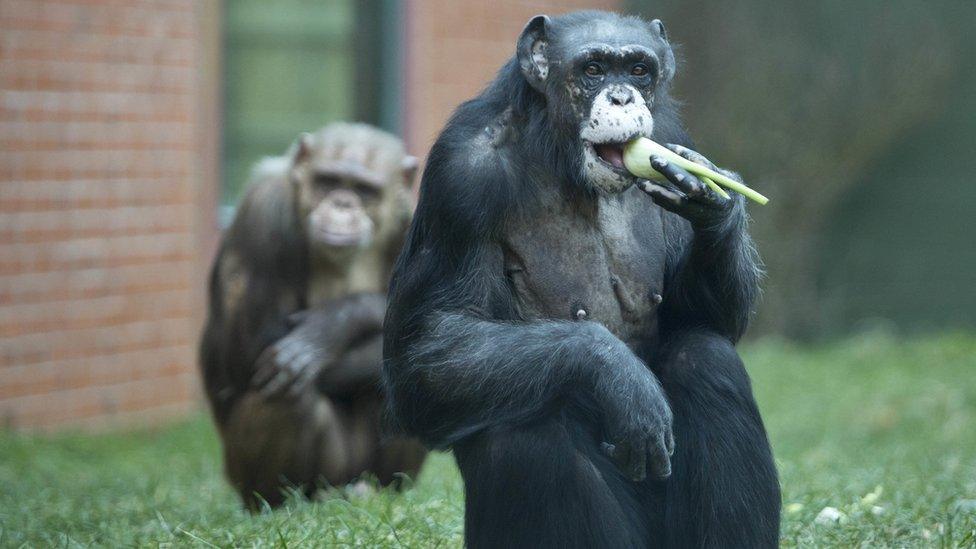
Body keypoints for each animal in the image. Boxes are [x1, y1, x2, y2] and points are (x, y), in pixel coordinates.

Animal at [200, 122, 426, 508]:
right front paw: (321, 335)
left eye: (364, 190)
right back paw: (284, 502)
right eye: (328, 181)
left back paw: (378, 491)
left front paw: (335, 324)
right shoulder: (264, 214)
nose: (342, 203)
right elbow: (253, 348)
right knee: (287, 392)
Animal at [386, 9, 780, 548]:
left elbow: (703, 319)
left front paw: (715, 203)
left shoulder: (674, 134)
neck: (559, 154)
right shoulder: (459, 180)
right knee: (526, 420)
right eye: (592, 69)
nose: (622, 97)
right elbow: (427, 348)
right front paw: (615, 372)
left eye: (638, 69)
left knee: (705, 357)